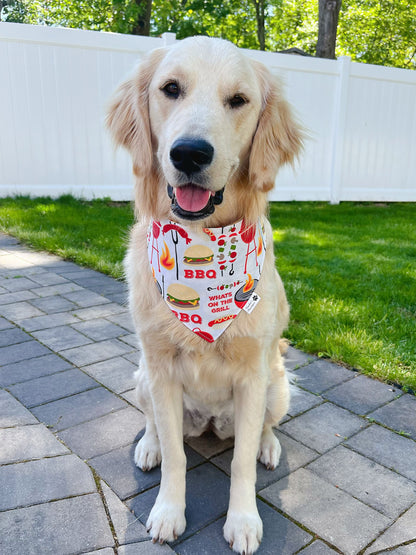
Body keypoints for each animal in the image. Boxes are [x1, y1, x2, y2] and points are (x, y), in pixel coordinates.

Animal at [106, 37, 302, 552]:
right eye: (171, 89)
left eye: (239, 100)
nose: (190, 153)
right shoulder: (161, 369)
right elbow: (176, 455)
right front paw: (168, 512)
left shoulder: (253, 377)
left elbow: (240, 462)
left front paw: (244, 520)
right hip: (142, 377)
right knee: (156, 424)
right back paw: (149, 445)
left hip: (278, 386)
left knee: (264, 429)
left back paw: (269, 446)